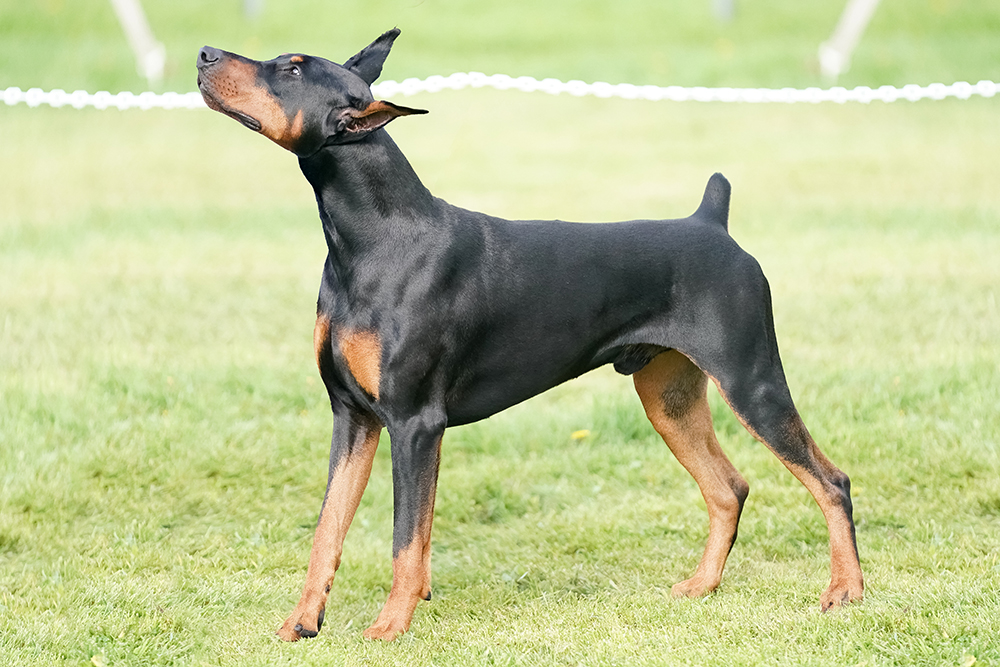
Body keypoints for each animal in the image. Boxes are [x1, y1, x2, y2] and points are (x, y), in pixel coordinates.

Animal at [195, 30, 860, 640]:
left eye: (292, 68)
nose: (204, 53)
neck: (374, 240)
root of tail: (712, 222)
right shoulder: (352, 416)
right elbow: (329, 528)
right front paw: (302, 623)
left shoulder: (414, 422)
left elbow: (405, 537)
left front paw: (389, 627)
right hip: (667, 395)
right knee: (728, 488)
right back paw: (702, 585)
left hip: (751, 380)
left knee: (831, 481)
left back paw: (845, 591)